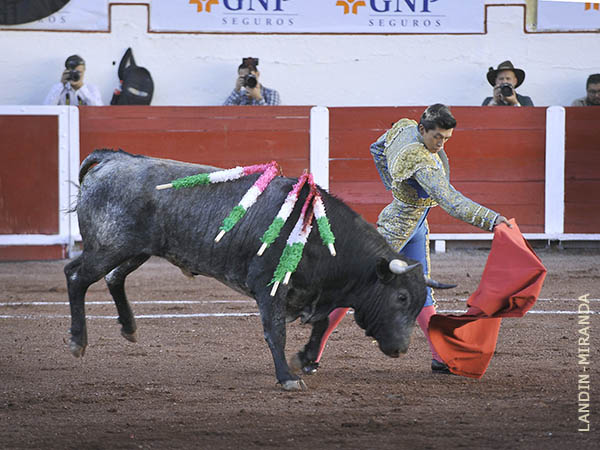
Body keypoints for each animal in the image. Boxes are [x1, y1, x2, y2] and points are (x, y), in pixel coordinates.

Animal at [65, 150, 440, 390]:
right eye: (401, 297)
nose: (401, 349)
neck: (322, 236)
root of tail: (113, 159)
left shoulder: (316, 293)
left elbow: (320, 325)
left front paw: (305, 359)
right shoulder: (269, 287)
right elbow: (276, 331)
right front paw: (287, 377)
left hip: (136, 249)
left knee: (114, 277)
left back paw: (129, 328)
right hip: (110, 246)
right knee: (76, 275)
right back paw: (78, 341)